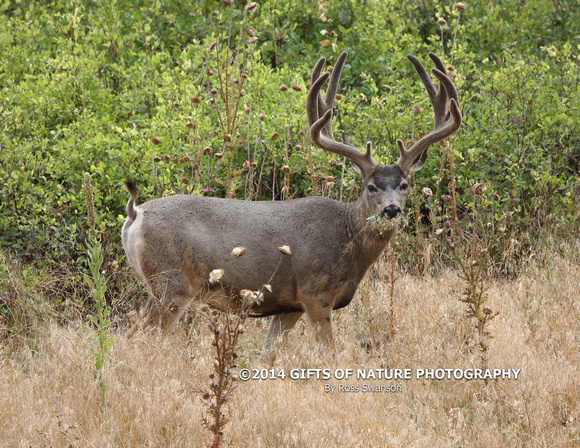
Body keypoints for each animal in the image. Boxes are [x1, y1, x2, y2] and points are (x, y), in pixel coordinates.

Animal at [123, 51, 462, 364]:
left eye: (404, 184)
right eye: (371, 186)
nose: (391, 210)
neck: (347, 236)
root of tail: (135, 215)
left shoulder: (288, 305)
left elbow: (267, 355)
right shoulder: (315, 292)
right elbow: (329, 354)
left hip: (159, 285)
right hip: (171, 283)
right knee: (141, 338)